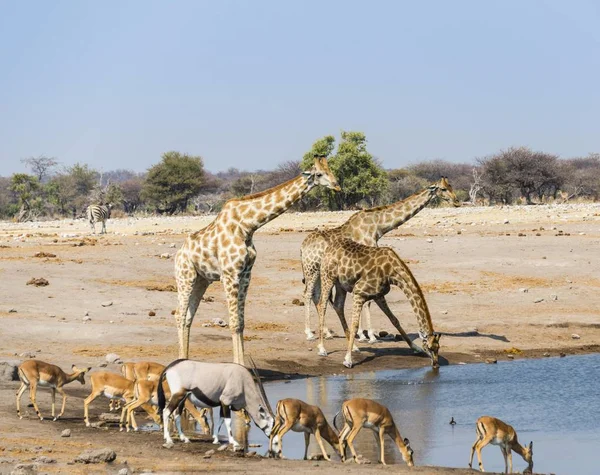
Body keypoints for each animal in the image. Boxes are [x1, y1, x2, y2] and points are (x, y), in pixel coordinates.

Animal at [176, 158, 340, 362]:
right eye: (319, 174)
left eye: (330, 170)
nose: (337, 185)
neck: (247, 226)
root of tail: (179, 254)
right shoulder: (229, 275)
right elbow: (233, 323)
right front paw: (238, 364)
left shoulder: (246, 275)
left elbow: (241, 323)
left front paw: (243, 364)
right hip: (185, 277)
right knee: (179, 316)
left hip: (201, 280)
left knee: (188, 317)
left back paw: (185, 360)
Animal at [300, 176, 460, 342]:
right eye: (443, 189)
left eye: (450, 186)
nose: (457, 201)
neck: (378, 226)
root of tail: (303, 247)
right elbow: (368, 301)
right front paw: (369, 335)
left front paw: (362, 334)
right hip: (312, 269)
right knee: (308, 294)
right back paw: (309, 333)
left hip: (320, 272)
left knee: (316, 296)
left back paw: (326, 332)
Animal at [316, 240, 438, 370]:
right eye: (429, 347)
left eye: (438, 347)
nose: (436, 364)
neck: (391, 272)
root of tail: (328, 248)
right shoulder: (359, 293)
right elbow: (354, 325)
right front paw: (348, 360)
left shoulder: (378, 295)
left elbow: (394, 320)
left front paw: (416, 348)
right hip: (327, 277)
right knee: (322, 305)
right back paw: (322, 348)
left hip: (340, 284)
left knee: (338, 305)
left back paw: (354, 347)